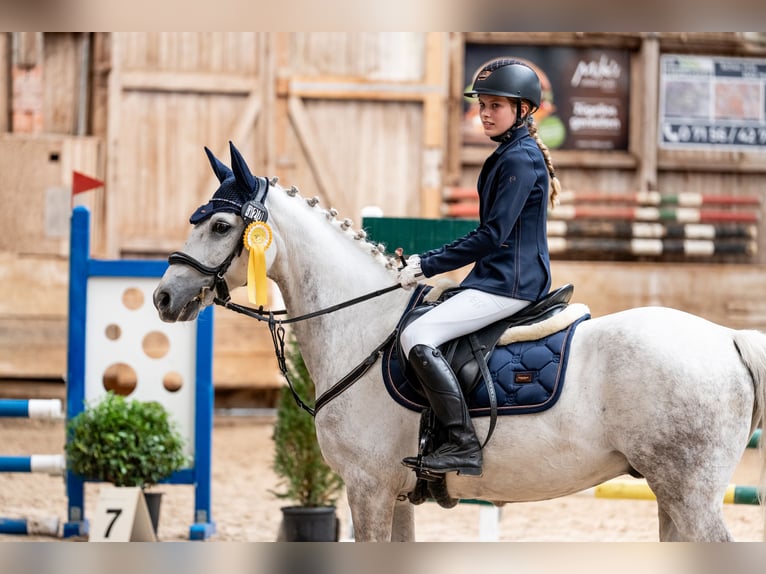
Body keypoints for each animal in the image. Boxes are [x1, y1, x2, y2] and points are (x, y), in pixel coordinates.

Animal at [153, 142, 766, 541]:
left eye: (221, 227)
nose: (163, 297)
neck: (363, 326)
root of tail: (728, 338)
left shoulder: (368, 489)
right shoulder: (394, 495)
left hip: (689, 491)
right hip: (670, 494)